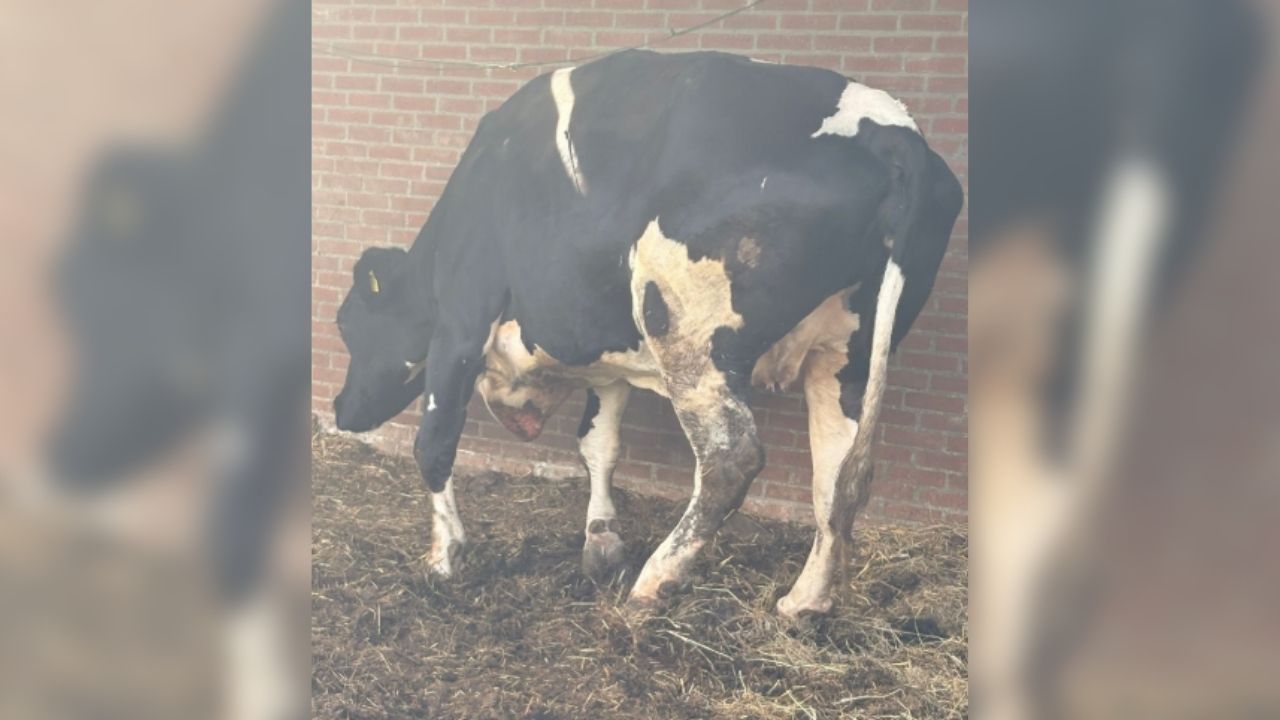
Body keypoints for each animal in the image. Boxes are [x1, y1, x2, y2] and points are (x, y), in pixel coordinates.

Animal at [333, 50, 963, 617]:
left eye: (346, 325)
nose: (340, 409)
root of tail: (890, 130)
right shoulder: (604, 358)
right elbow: (598, 444)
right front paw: (602, 543)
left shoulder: (459, 328)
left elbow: (434, 443)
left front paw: (444, 557)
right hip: (846, 355)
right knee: (838, 473)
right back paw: (804, 601)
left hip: (688, 331)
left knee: (731, 458)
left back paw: (656, 580)